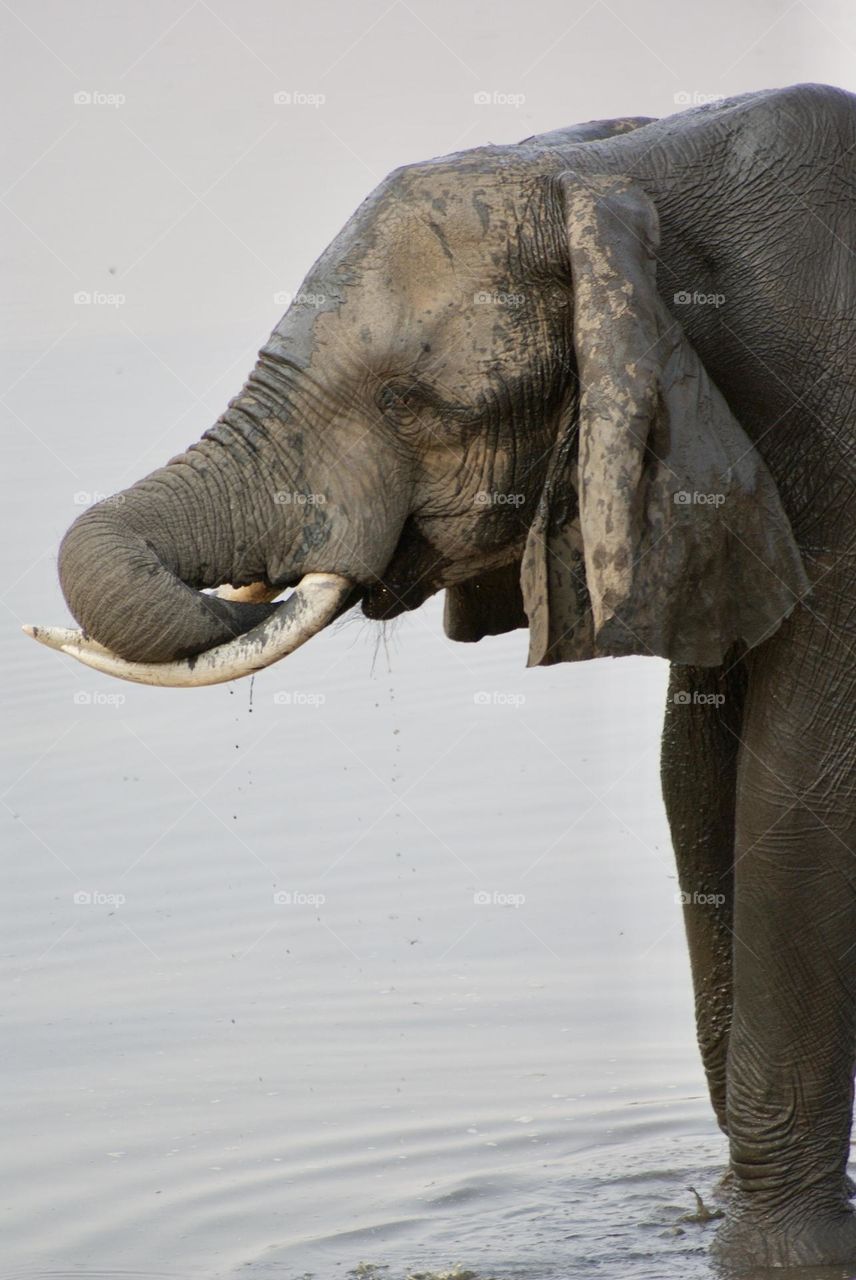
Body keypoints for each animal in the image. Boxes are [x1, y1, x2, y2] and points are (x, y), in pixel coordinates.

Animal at [28, 82, 854, 1269]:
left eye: (409, 402)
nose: (238, 590)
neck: (641, 174)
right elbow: (696, 783)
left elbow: (795, 807)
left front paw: (770, 1253)